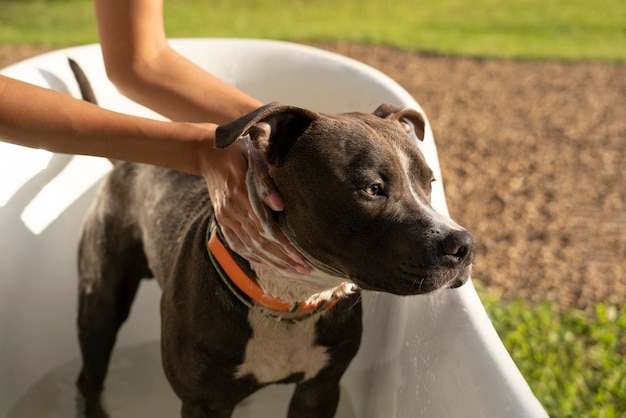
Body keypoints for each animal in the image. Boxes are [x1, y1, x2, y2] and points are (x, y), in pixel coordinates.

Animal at [70, 60, 472, 416]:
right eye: (372, 189)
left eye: (429, 182)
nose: (463, 244)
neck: (290, 298)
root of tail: (125, 161)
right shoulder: (203, 402)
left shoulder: (320, 389)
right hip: (100, 308)